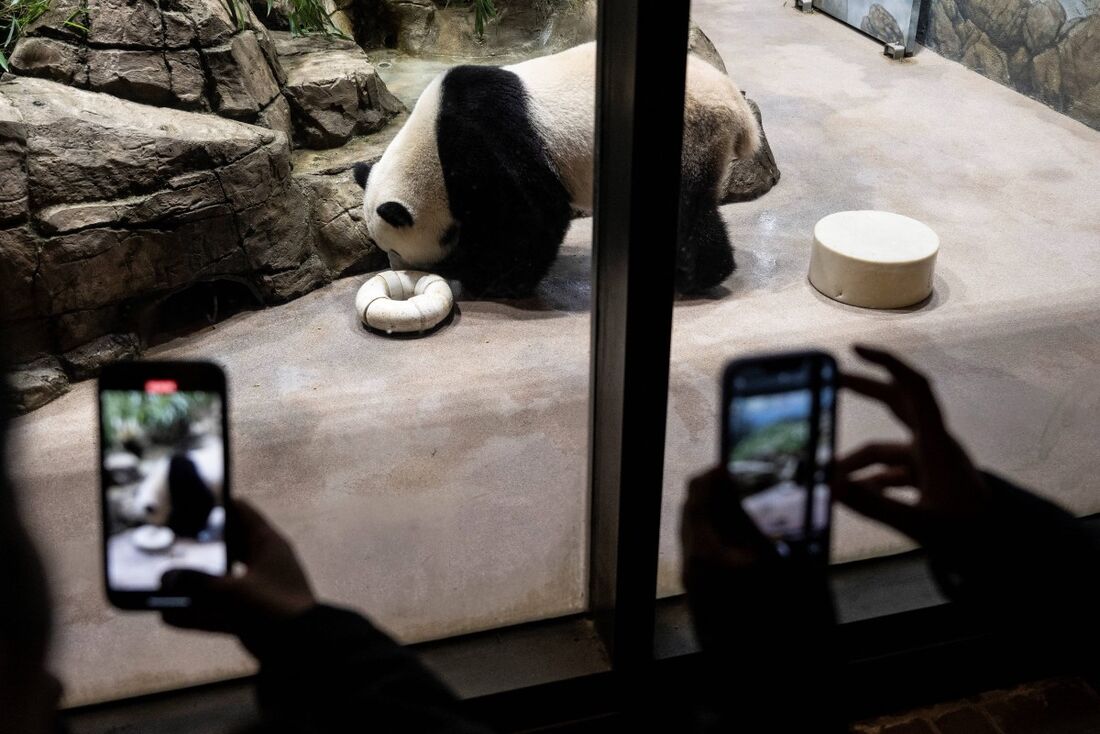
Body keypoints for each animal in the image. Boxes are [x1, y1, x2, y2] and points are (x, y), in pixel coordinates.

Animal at [356, 41, 761, 299]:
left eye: (393, 247)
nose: (396, 267)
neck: (428, 144)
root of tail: (737, 108)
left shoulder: (485, 136)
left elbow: (532, 215)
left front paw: (491, 279)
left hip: (690, 133)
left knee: (685, 208)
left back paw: (697, 277)